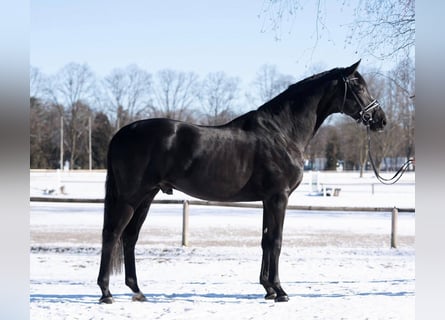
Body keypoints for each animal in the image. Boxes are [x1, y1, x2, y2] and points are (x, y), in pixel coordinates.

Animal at [96, 61, 386, 304]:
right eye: (358, 85)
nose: (380, 120)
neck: (282, 132)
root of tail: (122, 133)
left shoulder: (268, 200)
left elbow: (265, 240)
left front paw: (268, 289)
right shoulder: (279, 197)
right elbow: (276, 241)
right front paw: (280, 291)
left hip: (147, 196)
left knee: (129, 238)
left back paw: (137, 291)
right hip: (131, 197)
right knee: (112, 235)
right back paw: (106, 293)